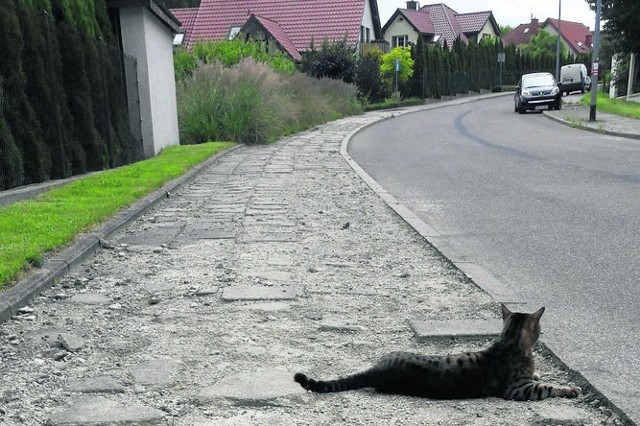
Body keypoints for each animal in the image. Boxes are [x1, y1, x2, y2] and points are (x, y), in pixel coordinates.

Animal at [296, 304, 580, 402]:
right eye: (539, 329)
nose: (543, 332)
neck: (508, 341)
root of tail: (376, 369)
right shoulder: (518, 389)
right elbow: (548, 388)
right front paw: (569, 389)